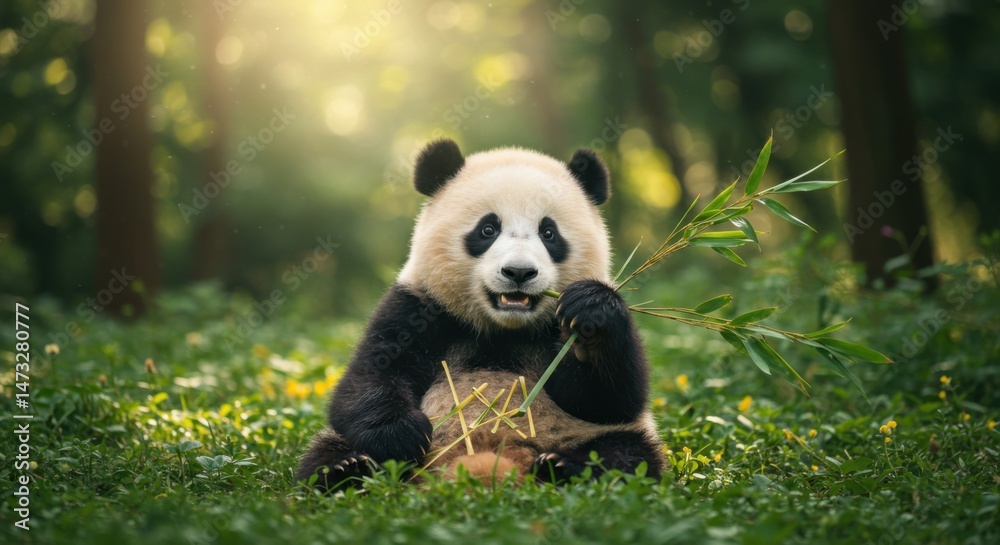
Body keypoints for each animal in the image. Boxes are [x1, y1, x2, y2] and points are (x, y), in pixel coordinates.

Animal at [297, 139, 663, 490]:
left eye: (549, 233)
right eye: (487, 230)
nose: (519, 272)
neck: (503, 330)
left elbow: (609, 400)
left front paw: (588, 324)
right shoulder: (418, 307)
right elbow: (370, 377)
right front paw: (402, 436)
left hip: (591, 435)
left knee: (629, 455)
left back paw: (564, 467)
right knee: (324, 452)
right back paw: (348, 468)